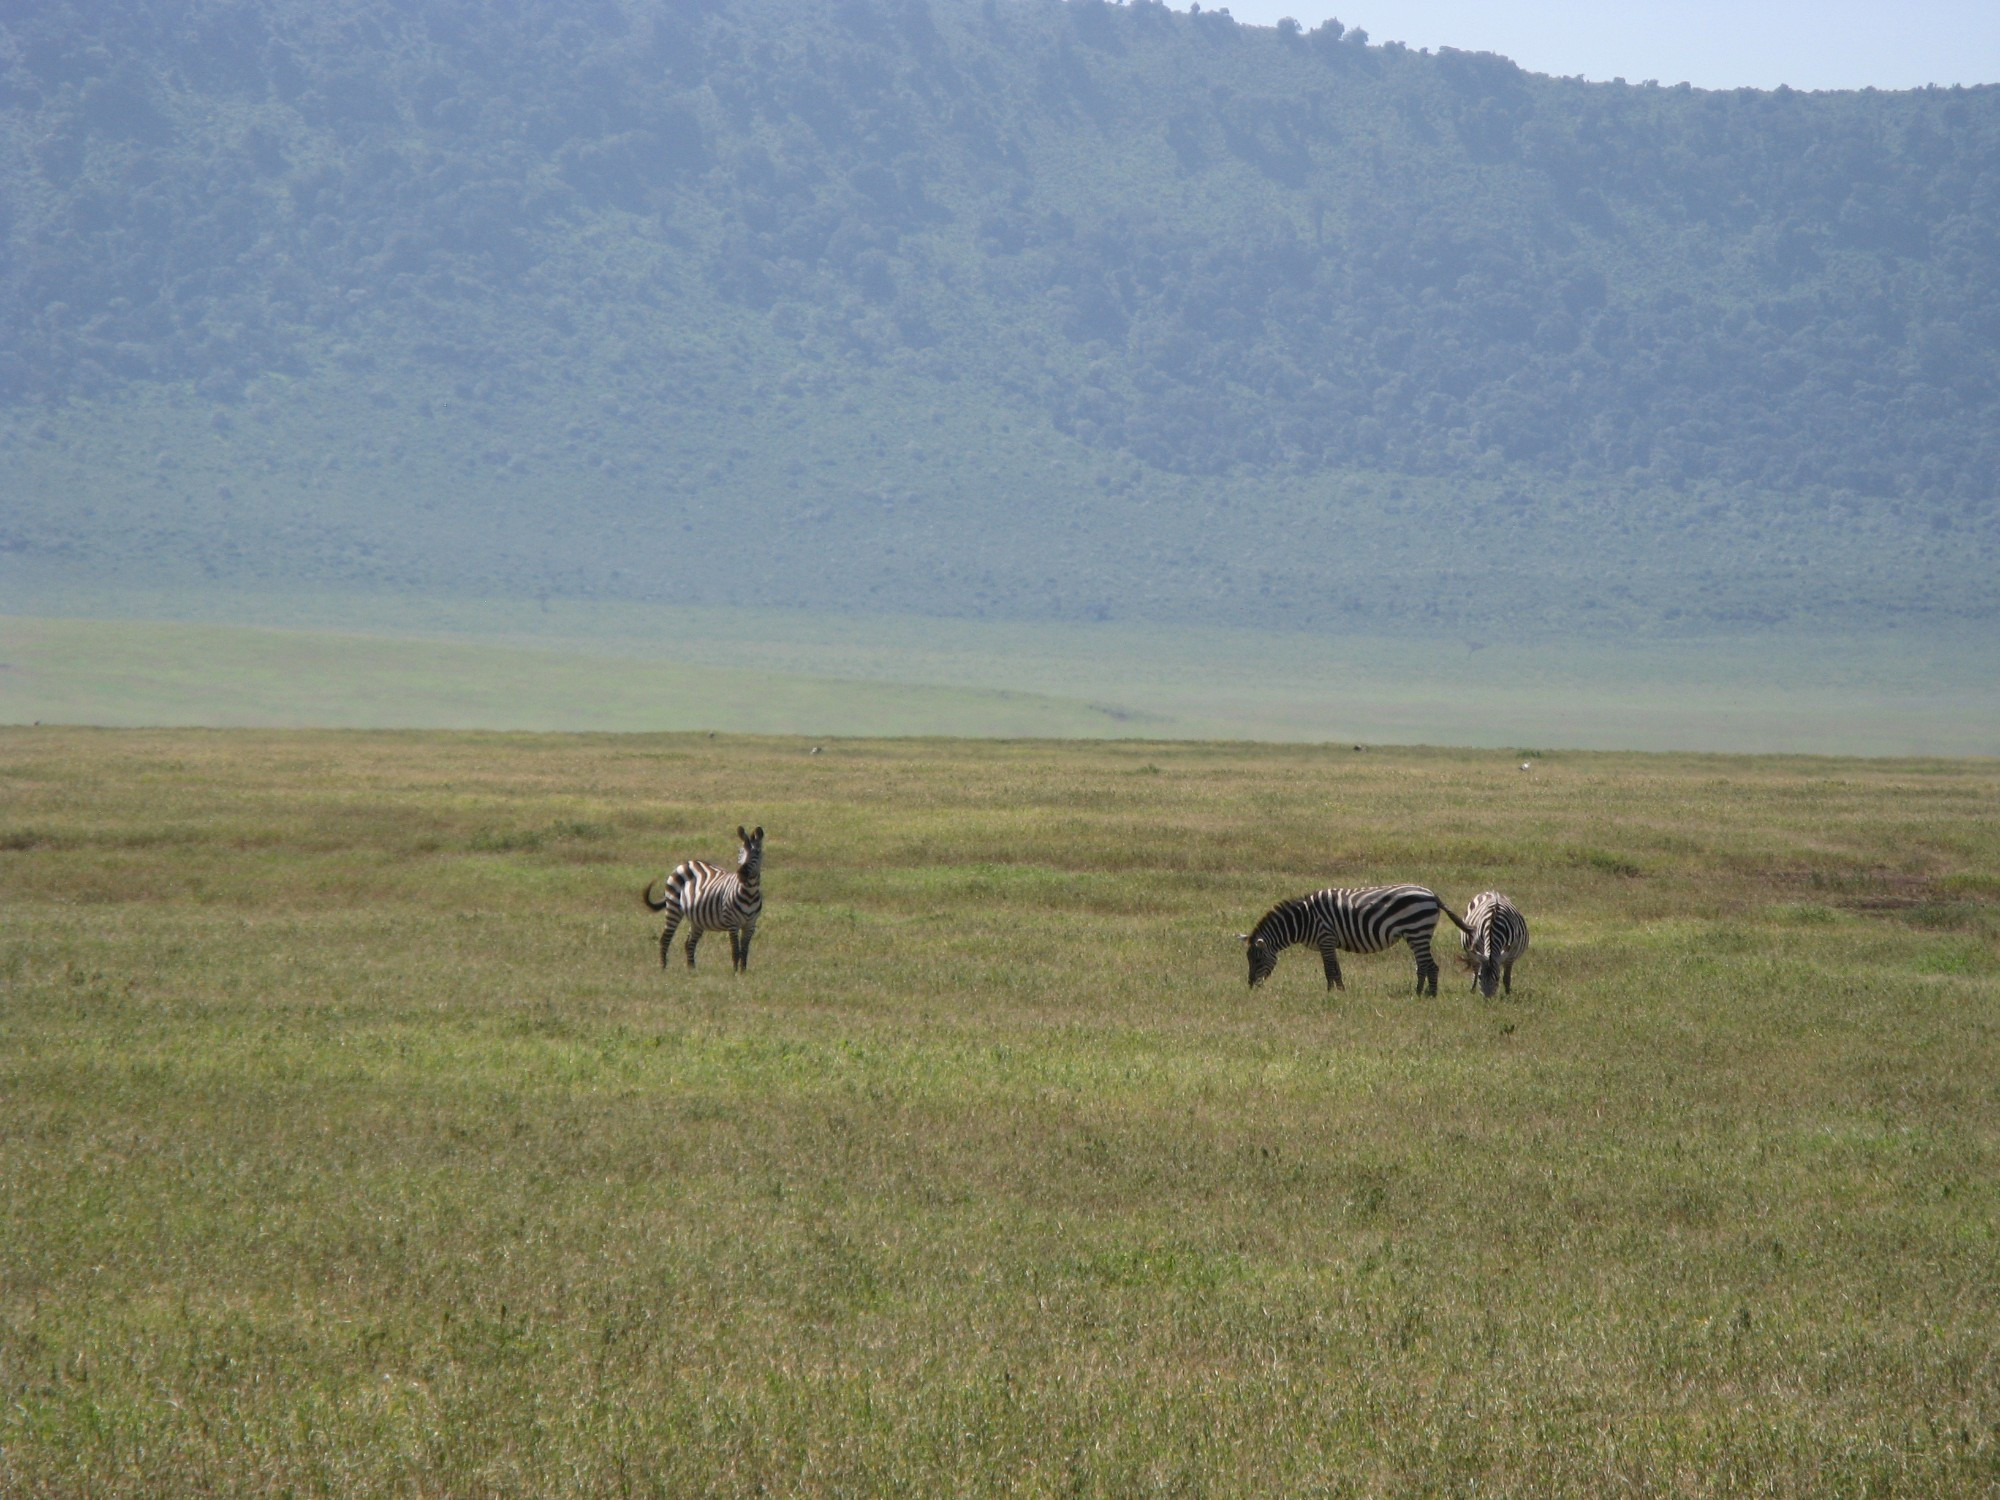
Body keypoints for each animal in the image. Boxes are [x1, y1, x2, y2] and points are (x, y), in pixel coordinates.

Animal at [644, 824, 760, 976]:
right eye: (740, 852)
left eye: (757, 853)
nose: (741, 873)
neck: (749, 893)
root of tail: (687, 862)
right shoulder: (732, 923)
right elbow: (735, 950)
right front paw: (735, 974)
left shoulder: (750, 924)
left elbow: (745, 951)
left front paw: (743, 973)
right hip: (673, 907)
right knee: (665, 939)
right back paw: (663, 968)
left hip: (697, 918)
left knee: (689, 943)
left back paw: (692, 970)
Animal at [1232, 888, 1472, 1004]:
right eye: (1248, 959)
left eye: (1258, 959)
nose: (1251, 985)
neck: (1303, 920)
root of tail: (1432, 895)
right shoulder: (1327, 942)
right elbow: (1334, 970)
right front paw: (1339, 991)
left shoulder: (1326, 938)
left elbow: (1330, 970)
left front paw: (1332, 994)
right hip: (1415, 934)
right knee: (1421, 966)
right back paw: (1418, 993)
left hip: (1418, 930)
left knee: (1430, 966)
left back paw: (1430, 995)